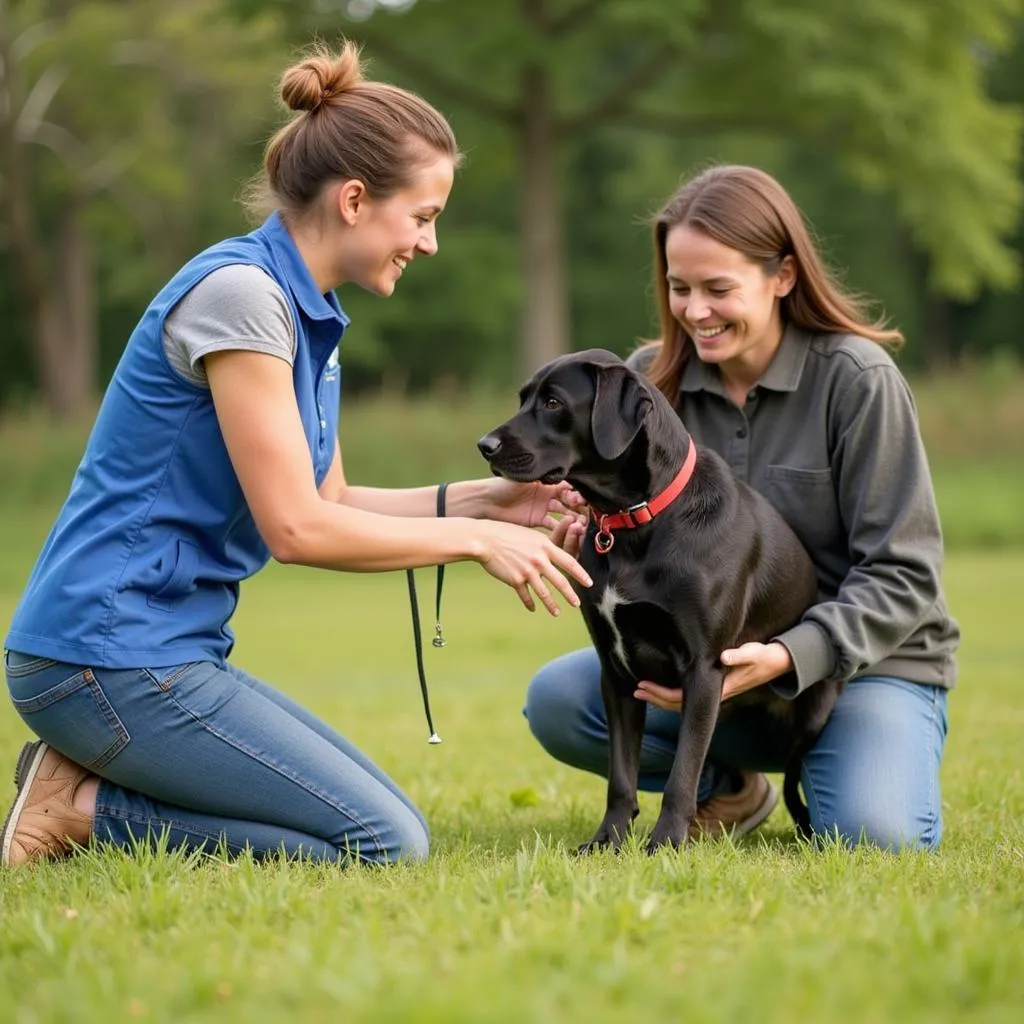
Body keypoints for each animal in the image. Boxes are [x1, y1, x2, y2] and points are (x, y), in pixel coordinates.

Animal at [477, 348, 839, 851]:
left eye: (553, 402)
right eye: (524, 398)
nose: (485, 444)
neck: (633, 520)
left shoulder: (704, 669)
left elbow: (681, 774)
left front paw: (666, 841)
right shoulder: (615, 671)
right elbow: (621, 775)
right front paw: (608, 839)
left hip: (813, 714)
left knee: (790, 777)